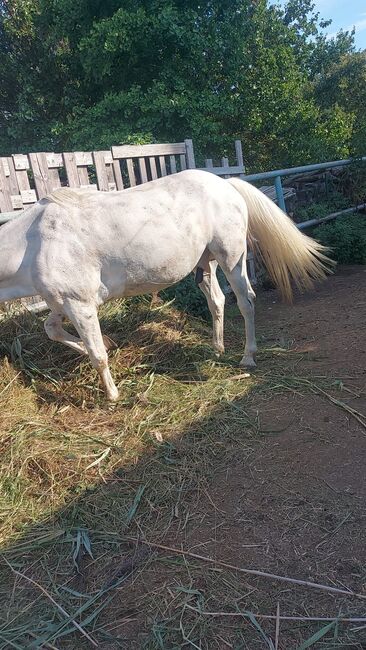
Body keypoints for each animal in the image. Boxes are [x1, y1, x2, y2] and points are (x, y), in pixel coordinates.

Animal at [0, 170, 332, 398]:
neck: (36, 241)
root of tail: (227, 184)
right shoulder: (62, 303)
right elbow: (52, 330)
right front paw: (109, 343)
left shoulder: (79, 304)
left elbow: (97, 355)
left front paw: (112, 395)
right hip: (206, 263)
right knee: (217, 301)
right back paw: (217, 349)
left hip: (232, 259)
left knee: (245, 301)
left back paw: (247, 357)